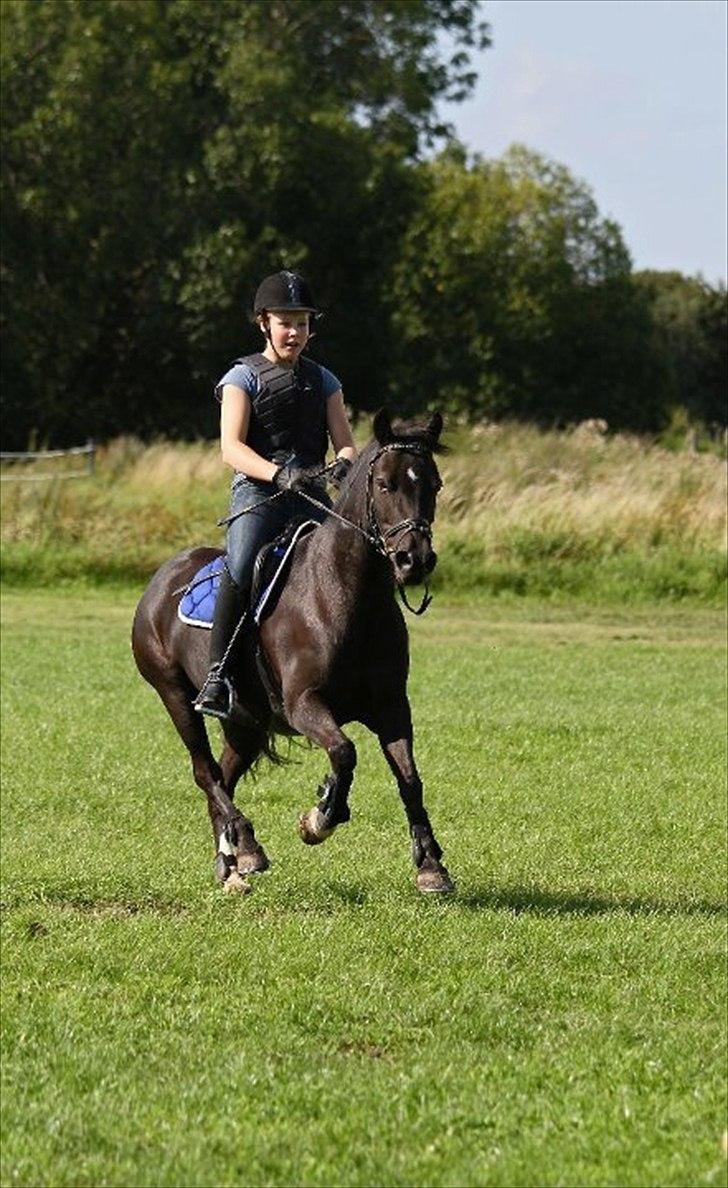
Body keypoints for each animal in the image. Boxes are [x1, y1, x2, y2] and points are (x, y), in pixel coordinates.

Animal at [131, 408, 453, 895]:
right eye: (385, 484)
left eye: (433, 484)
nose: (413, 561)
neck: (347, 597)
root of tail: (162, 579)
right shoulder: (304, 704)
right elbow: (344, 751)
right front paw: (319, 818)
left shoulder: (392, 706)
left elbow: (409, 777)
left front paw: (431, 865)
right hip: (174, 695)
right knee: (205, 772)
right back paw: (246, 842)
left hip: (246, 720)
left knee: (224, 773)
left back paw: (234, 860)